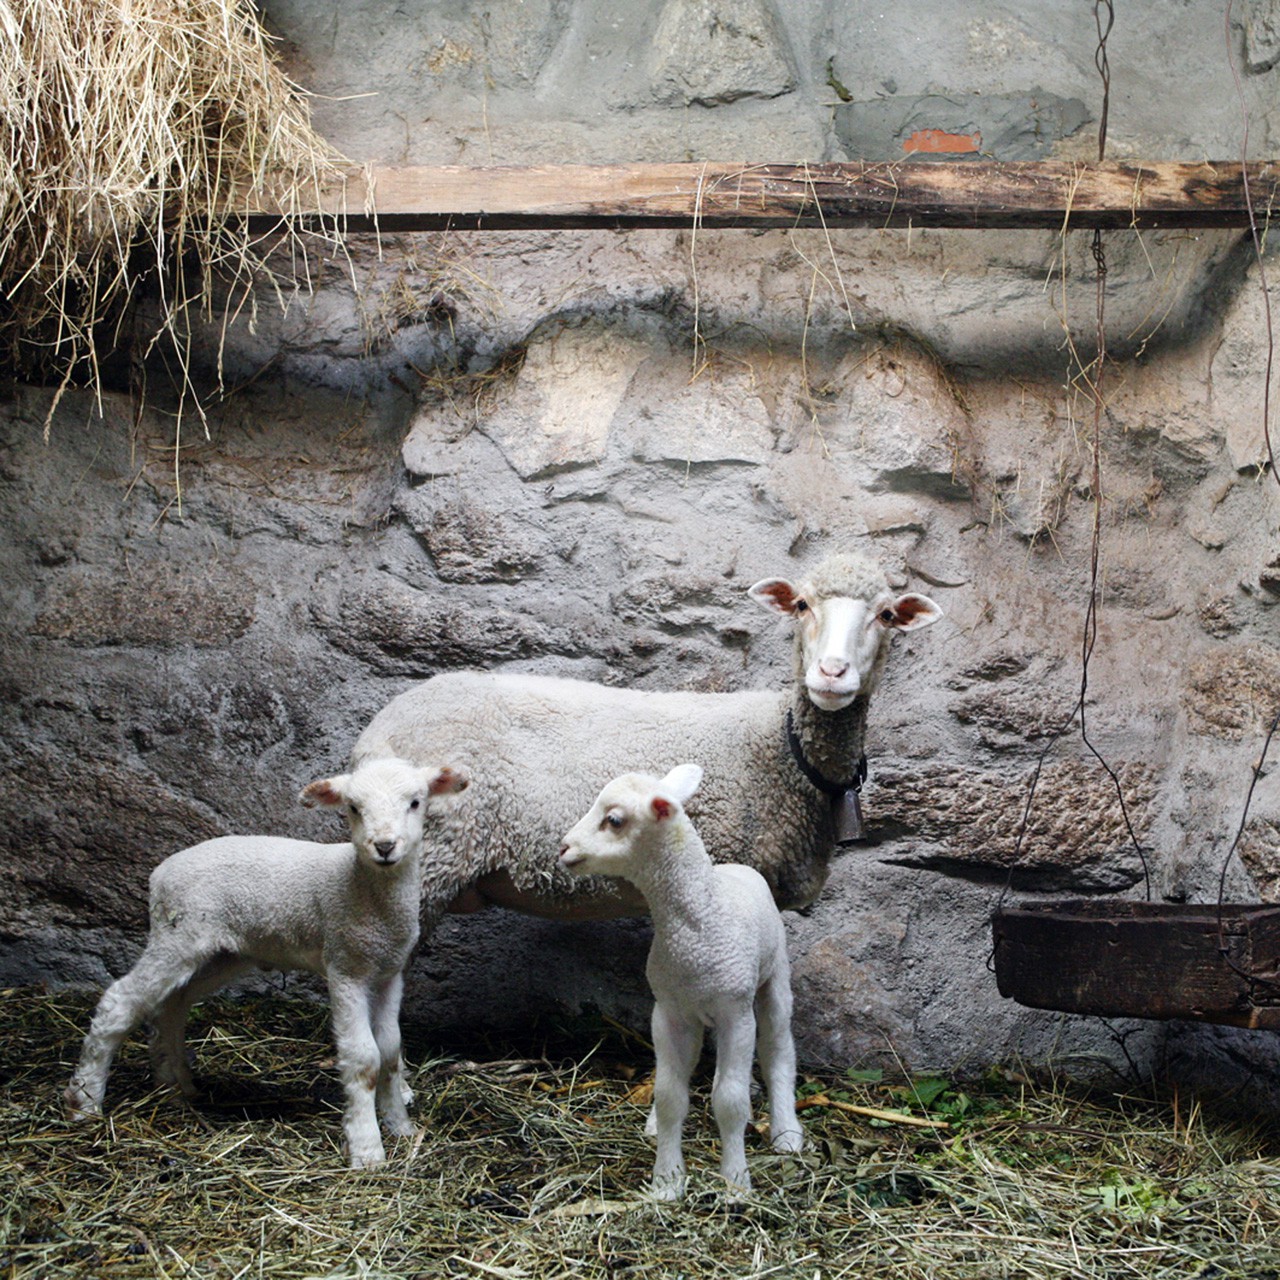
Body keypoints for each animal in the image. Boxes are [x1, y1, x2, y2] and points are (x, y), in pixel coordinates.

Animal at [63, 757, 471, 1172]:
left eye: (415, 803)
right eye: (354, 808)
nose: (385, 846)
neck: (366, 891)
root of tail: (160, 873)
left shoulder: (389, 972)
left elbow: (389, 1051)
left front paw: (400, 1128)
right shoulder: (345, 967)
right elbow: (364, 1058)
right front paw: (367, 1149)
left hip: (218, 951)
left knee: (172, 1005)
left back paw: (176, 1087)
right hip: (176, 934)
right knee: (120, 1002)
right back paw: (85, 1102)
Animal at [350, 545, 942, 926]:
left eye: (887, 615)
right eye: (801, 605)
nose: (832, 674)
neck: (783, 748)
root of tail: (378, 728)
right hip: (428, 856)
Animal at [560, 757, 798, 1198]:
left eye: (614, 819)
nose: (564, 848)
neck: (700, 920)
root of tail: (737, 866)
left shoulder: (737, 1014)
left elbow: (730, 1100)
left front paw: (736, 1182)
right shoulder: (668, 1013)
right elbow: (671, 1095)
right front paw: (667, 1181)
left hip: (774, 979)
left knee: (777, 1048)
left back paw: (787, 1132)